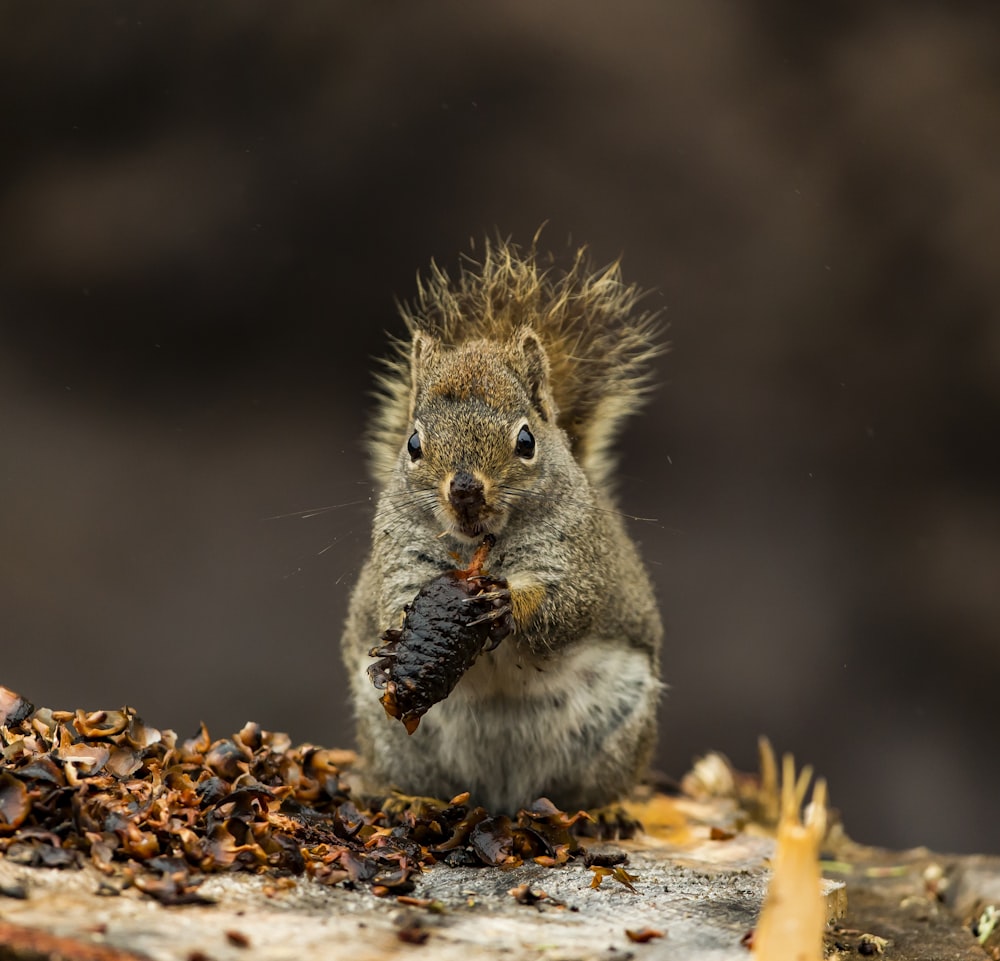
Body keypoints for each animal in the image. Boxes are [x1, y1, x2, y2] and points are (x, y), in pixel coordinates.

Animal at [342, 236, 664, 812]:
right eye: (413, 443)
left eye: (526, 440)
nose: (466, 490)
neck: (480, 549)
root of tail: (500, 794)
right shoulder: (400, 557)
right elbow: (395, 595)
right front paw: (394, 646)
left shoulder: (578, 558)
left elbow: (568, 606)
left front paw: (509, 604)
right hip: (394, 741)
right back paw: (407, 800)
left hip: (615, 730)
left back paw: (603, 811)